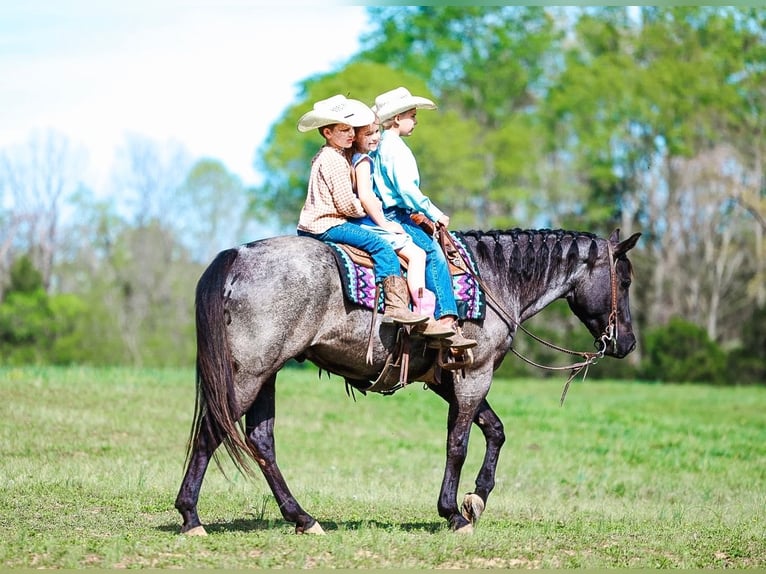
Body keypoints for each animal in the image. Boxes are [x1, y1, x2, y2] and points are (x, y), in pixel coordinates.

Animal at [175, 227, 641, 535]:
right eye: (626, 279)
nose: (627, 343)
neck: (493, 280)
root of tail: (239, 255)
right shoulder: (475, 373)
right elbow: (458, 444)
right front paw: (453, 513)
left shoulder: (447, 378)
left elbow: (494, 430)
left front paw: (476, 498)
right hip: (249, 374)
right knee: (213, 431)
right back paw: (191, 516)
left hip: (266, 374)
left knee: (261, 441)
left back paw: (303, 518)